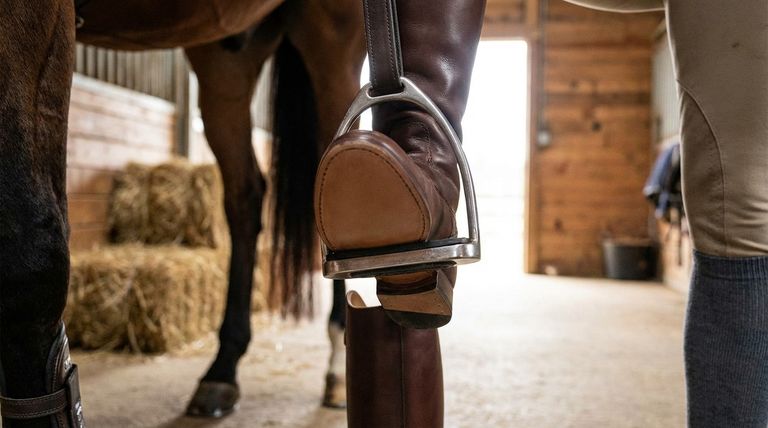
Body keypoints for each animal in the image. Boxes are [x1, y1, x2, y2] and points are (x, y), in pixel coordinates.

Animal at [0, 0, 365, 424]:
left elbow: (31, 264)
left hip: (331, 38)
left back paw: (339, 369)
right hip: (225, 60)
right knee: (245, 197)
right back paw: (221, 372)